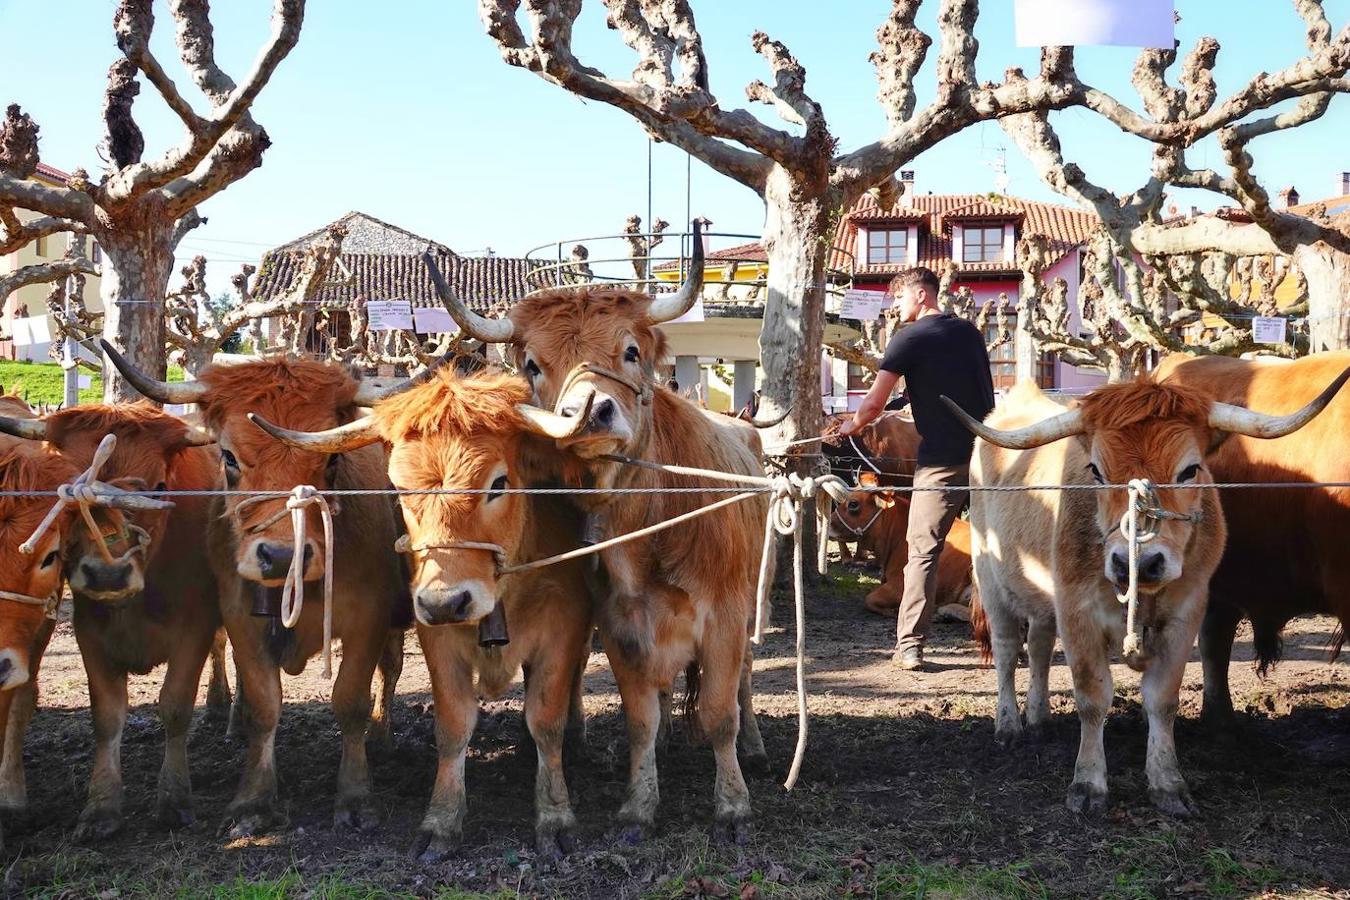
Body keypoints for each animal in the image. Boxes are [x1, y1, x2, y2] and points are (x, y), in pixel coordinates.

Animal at [100, 345, 410, 836]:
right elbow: (264, 705)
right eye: (228, 457)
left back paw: (383, 735)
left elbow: (351, 701)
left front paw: (356, 794)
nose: (282, 556)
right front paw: (254, 800)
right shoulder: (239, 615)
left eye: (331, 461)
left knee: (391, 670)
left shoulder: (369, 615)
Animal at [249, 369, 596, 863]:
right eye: (399, 489)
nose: (446, 602)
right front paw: (442, 821)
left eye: (498, 483)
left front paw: (555, 816)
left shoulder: (562, 629)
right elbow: (452, 724)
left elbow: (546, 721)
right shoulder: (438, 637)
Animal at [429, 221, 772, 841]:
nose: (589, 411)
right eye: (533, 365)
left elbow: (718, 713)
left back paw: (755, 748)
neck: (655, 527)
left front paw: (733, 805)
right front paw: (639, 803)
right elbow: (639, 718)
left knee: (744, 682)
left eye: (630, 350)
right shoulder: (620, 623)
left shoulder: (726, 616)